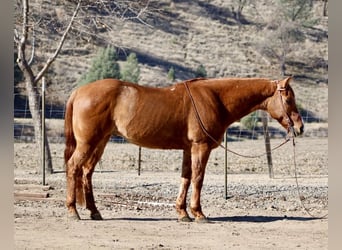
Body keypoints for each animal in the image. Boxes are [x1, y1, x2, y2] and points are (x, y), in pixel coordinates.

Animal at [64, 75, 304, 221]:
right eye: (288, 99)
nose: (300, 127)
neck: (216, 98)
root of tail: (78, 91)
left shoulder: (189, 149)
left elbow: (186, 178)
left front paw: (182, 213)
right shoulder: (201, 147)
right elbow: (198, 178)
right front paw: (198, 213)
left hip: (100, 142)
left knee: (87, 172)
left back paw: (94, 211)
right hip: (88, 142)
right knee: (73, 168)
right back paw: (73, 210)